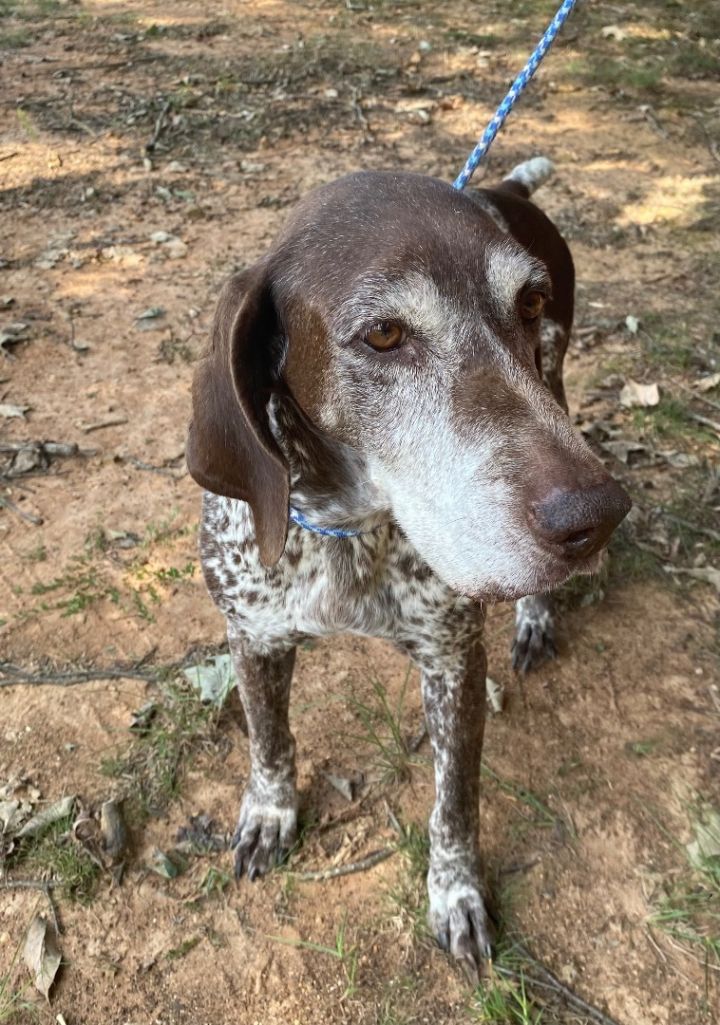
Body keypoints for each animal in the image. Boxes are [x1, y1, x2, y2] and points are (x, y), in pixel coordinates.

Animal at [187, 157, 631, 967]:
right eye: (386, 332)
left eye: (528, 301)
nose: (596, 517)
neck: (347, 531)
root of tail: (505, 188)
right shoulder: (251, 636)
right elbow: (269, 741)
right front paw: (270, 812)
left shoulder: (454, 662)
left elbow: (454, 803)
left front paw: (454, 892)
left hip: (556, 380)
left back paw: (536, 617)